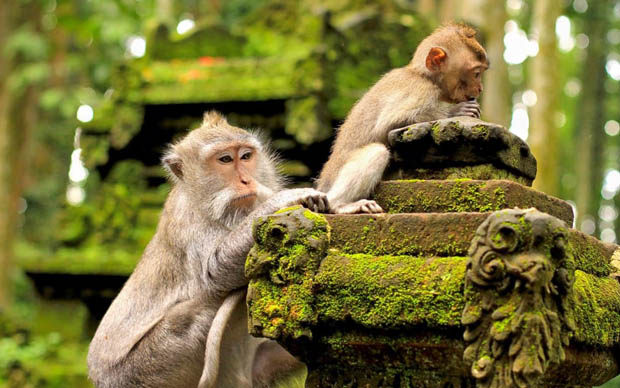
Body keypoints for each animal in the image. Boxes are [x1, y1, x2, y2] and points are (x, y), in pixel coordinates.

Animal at [89, 112, 330, 388]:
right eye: (225, 160)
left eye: (245, 156)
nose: (246, 180)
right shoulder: (189, 220)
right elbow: (214, 272)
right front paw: (285, 199)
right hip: (143, 369)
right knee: (203, 309)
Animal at [320, 22, 490, 214]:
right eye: (476, 73)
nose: (480, 88)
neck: (422, 75)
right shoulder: (421, 90)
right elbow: (388, 125)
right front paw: (456, 111)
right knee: (377, 151)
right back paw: (340, 205)